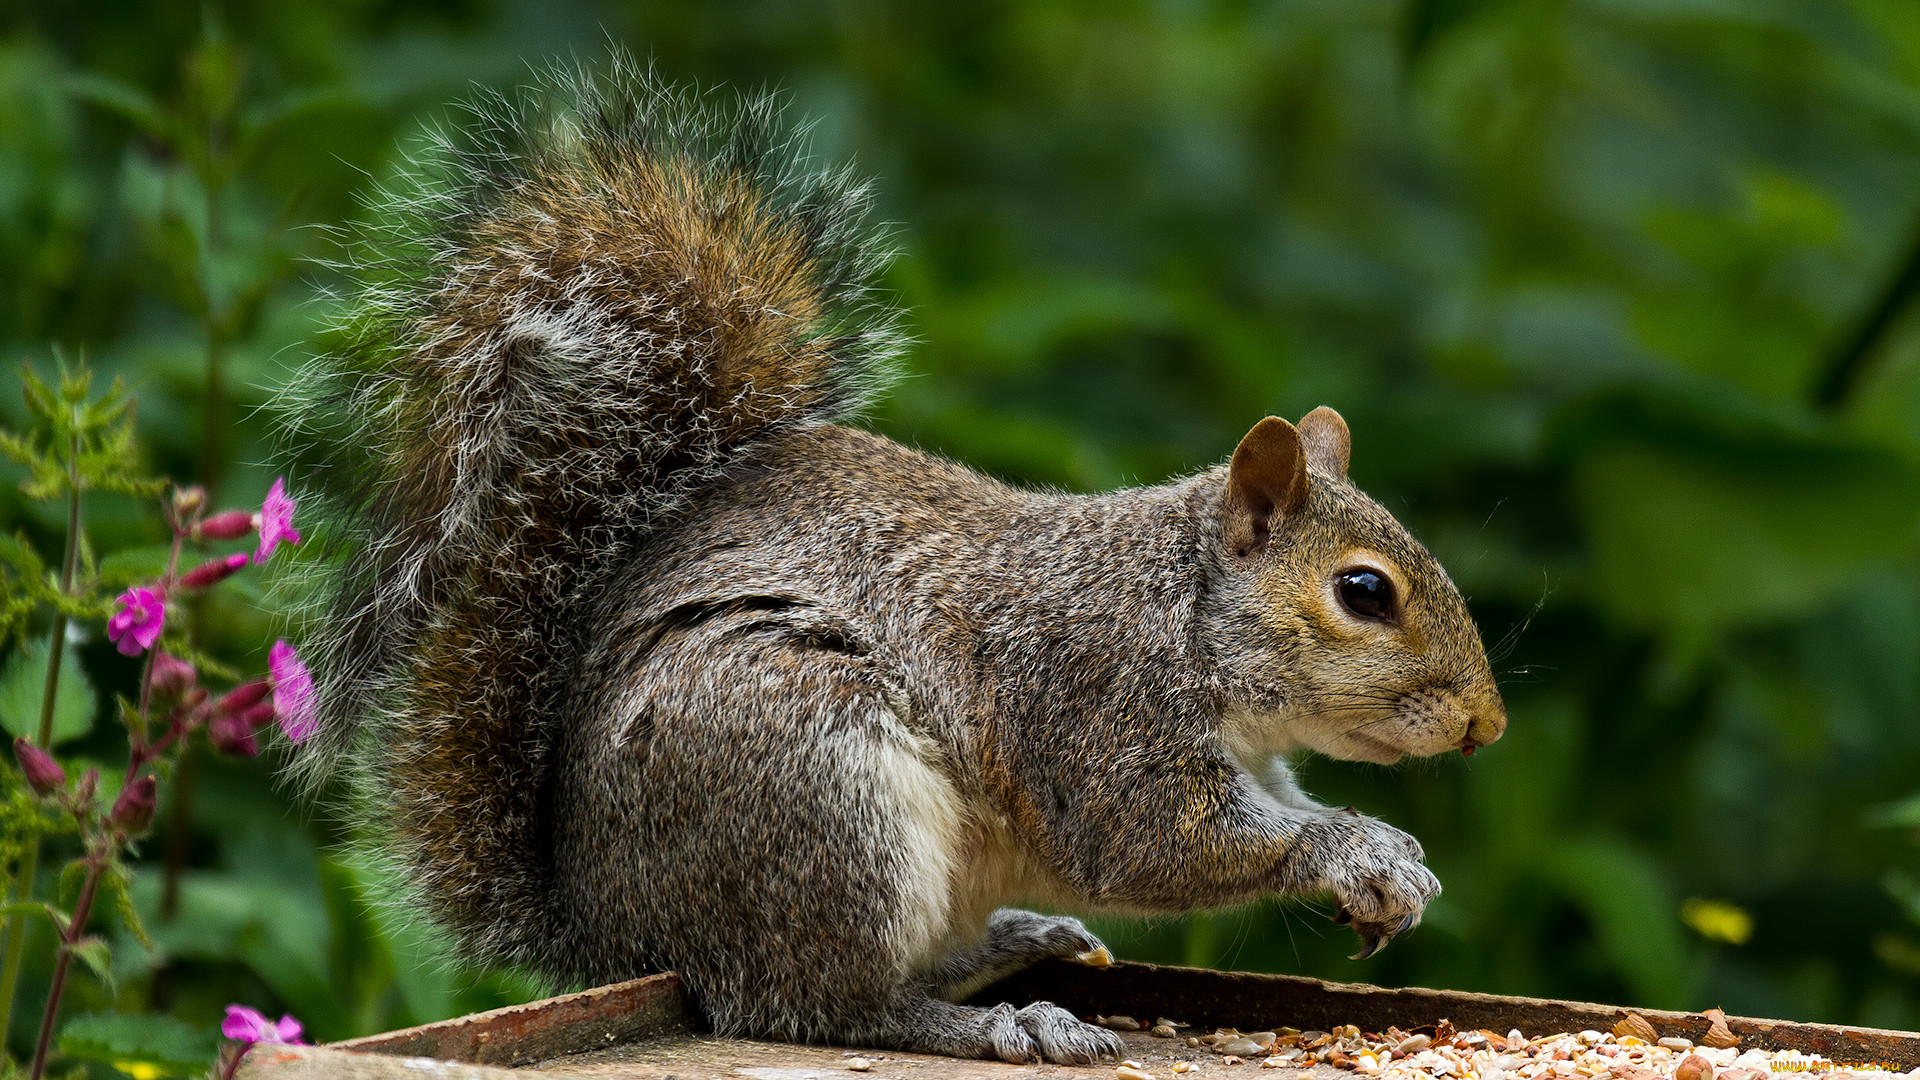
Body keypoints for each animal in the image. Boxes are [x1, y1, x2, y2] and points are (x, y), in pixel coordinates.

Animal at [284, 56, 1505, 1060]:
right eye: (1363, 591)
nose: (1485, 726)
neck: (1181, 612)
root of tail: (605, 921)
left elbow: (1274, 806)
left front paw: (1389, 856)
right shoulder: (1097, 701)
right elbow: (1156, 842)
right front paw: (1354, 853)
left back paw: (1012, 944)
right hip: (818, 787)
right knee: (822, 1003)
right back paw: (1001, 1022)